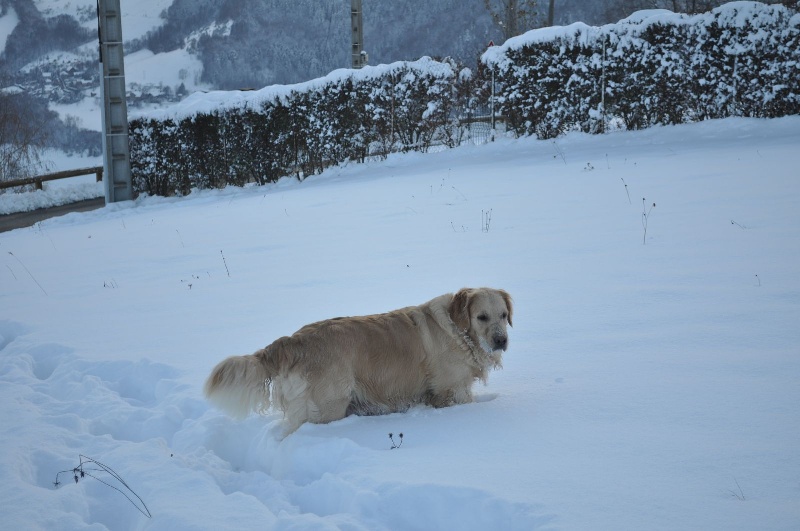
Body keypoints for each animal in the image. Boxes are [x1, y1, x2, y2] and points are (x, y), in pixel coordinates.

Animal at [202, 288, 512, 434]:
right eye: (481, 317)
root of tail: (292, 340)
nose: (501, 341)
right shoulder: (453, 390)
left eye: (504, 315)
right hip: (329, 406)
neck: (458, 330)